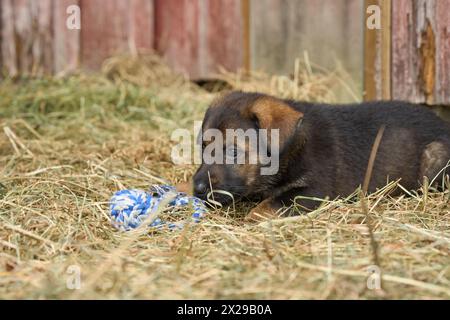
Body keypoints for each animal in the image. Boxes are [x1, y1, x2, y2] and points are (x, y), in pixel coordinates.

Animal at [193, 91, 450, 219]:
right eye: (203, 147)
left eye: (233, 151)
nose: (198, 189)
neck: (292, 150)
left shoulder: (314, 191)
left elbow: (268, 206)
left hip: (434, 156)